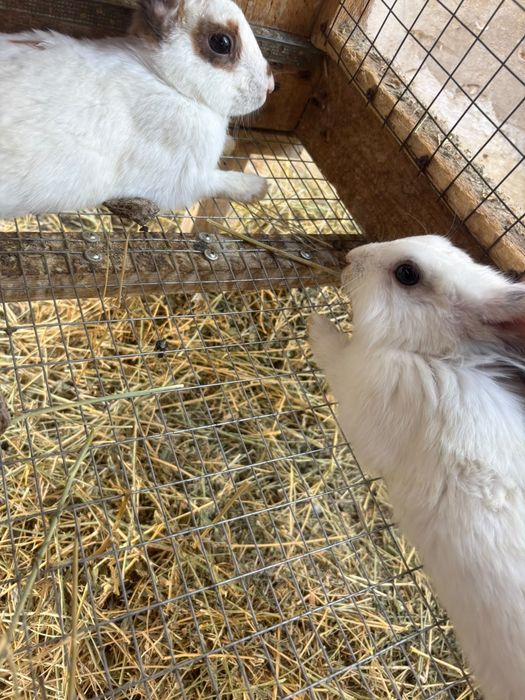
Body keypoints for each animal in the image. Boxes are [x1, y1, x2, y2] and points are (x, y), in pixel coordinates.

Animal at [0, 0, 274, 219]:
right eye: (221, 42)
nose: (270, 87)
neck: (163, 79)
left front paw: (230, 144)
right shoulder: (184, 180)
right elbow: (218, 181)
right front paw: (258, 187)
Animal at [309, 235, 525, 700]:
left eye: (407, 273)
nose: (351, 258)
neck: (441, 358)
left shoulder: (366, 388)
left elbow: (335, 355)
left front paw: (315, 323)